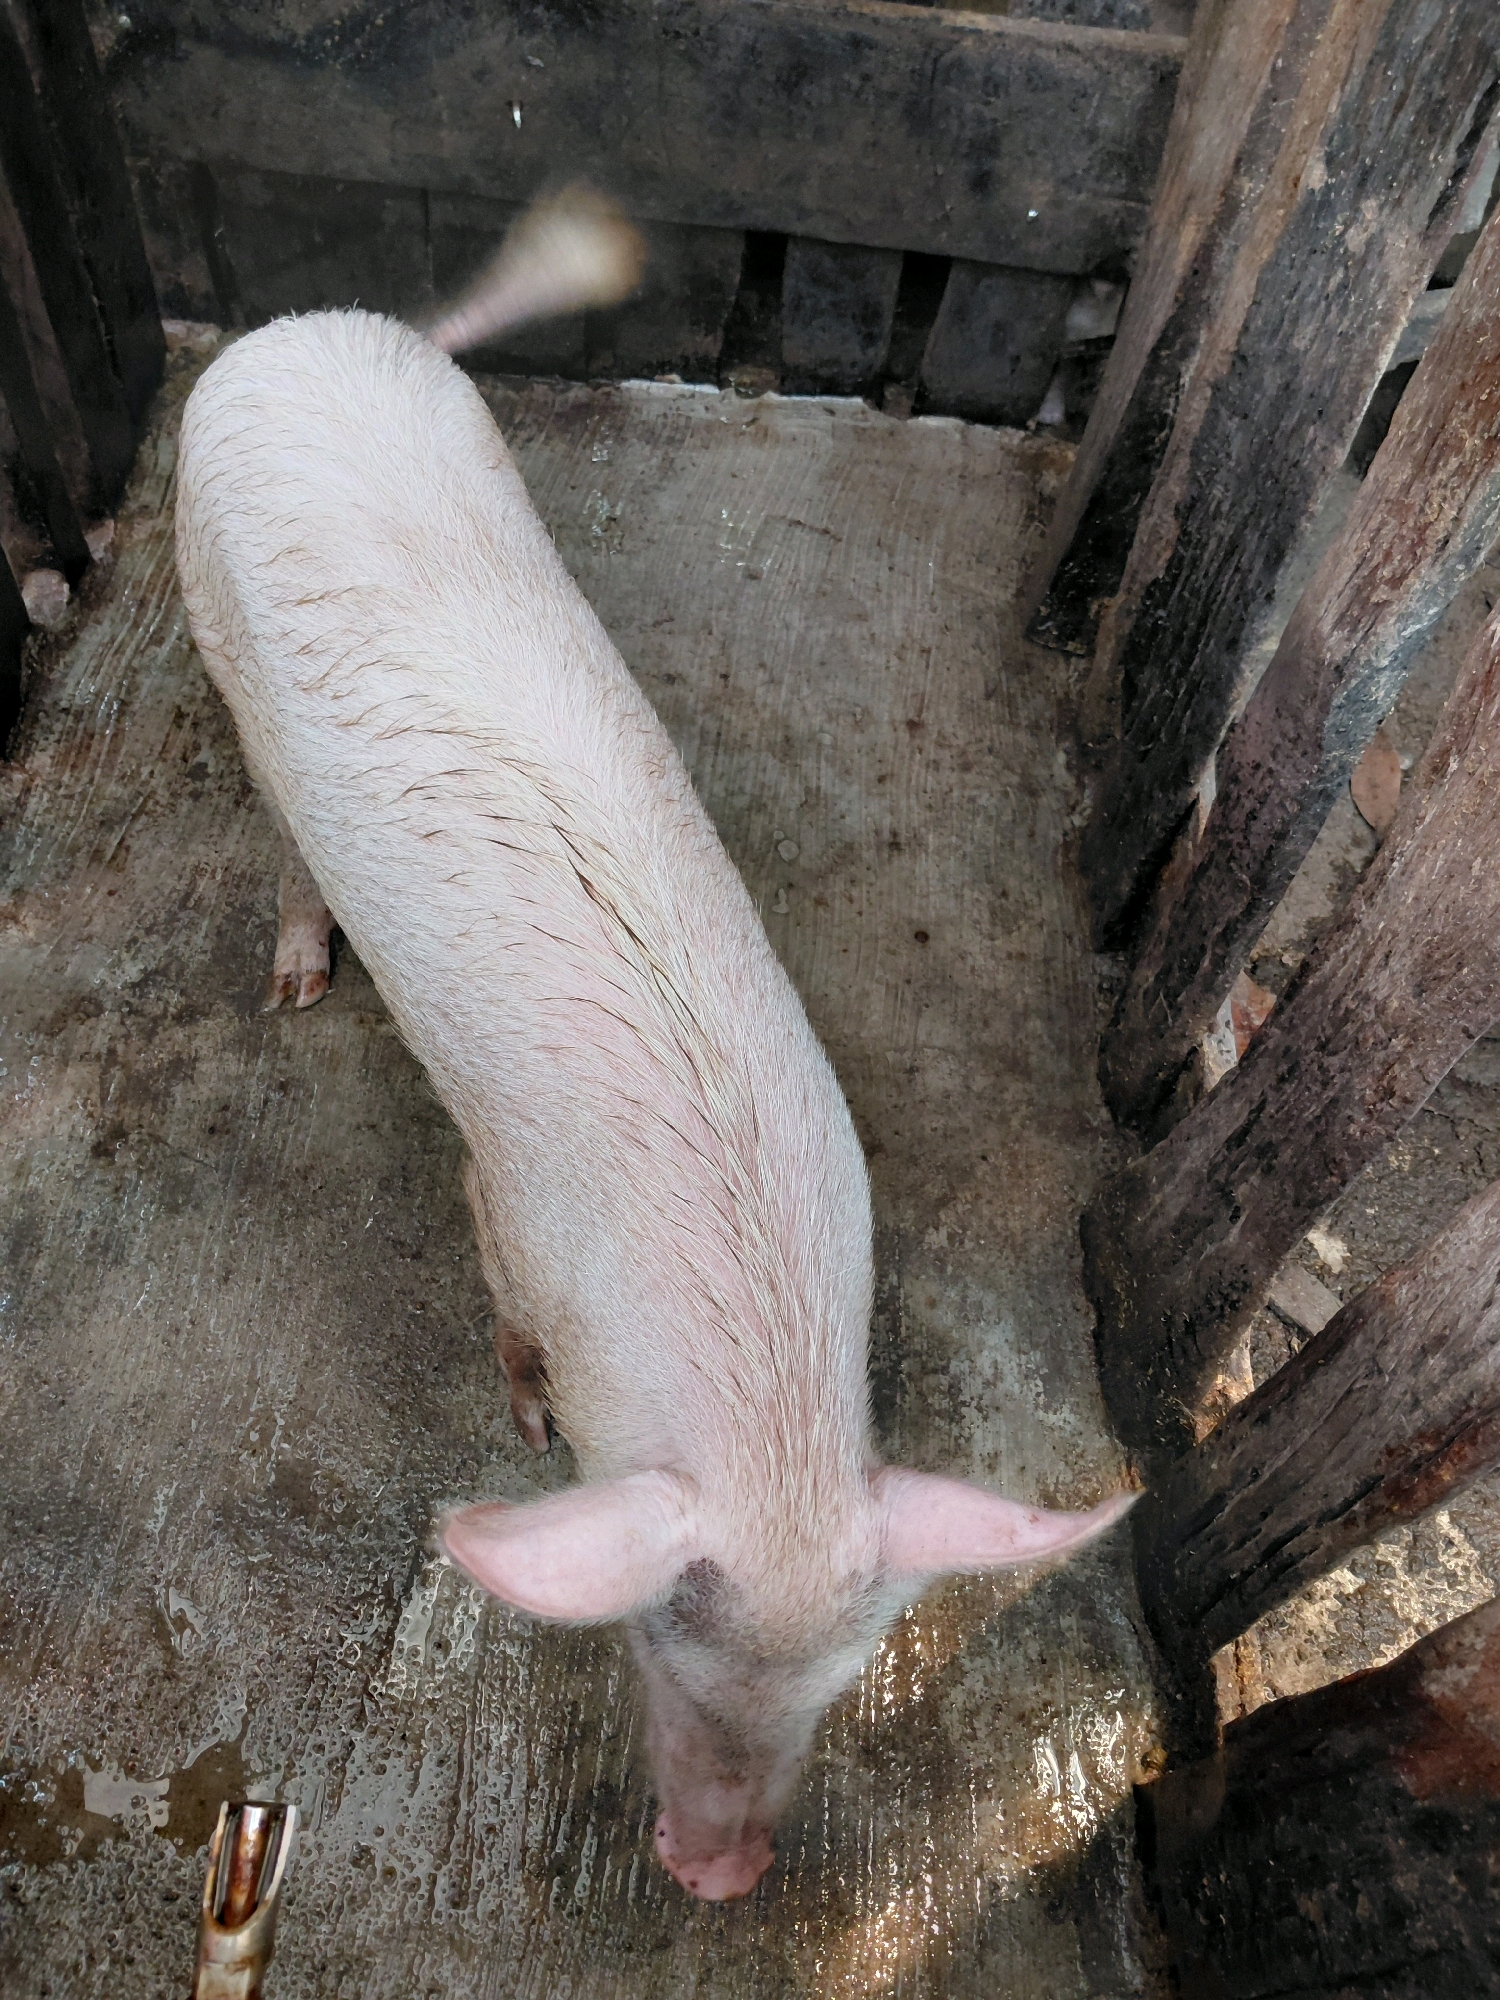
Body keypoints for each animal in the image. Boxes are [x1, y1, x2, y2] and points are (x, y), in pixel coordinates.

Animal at [174, 192, 1134, 1902]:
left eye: (839, 1685)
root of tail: (302, 331)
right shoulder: (507, 1206)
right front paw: (524, 1419)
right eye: (650, 1647)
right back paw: (293, 986)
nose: (724, 1876)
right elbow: (501, 1314)